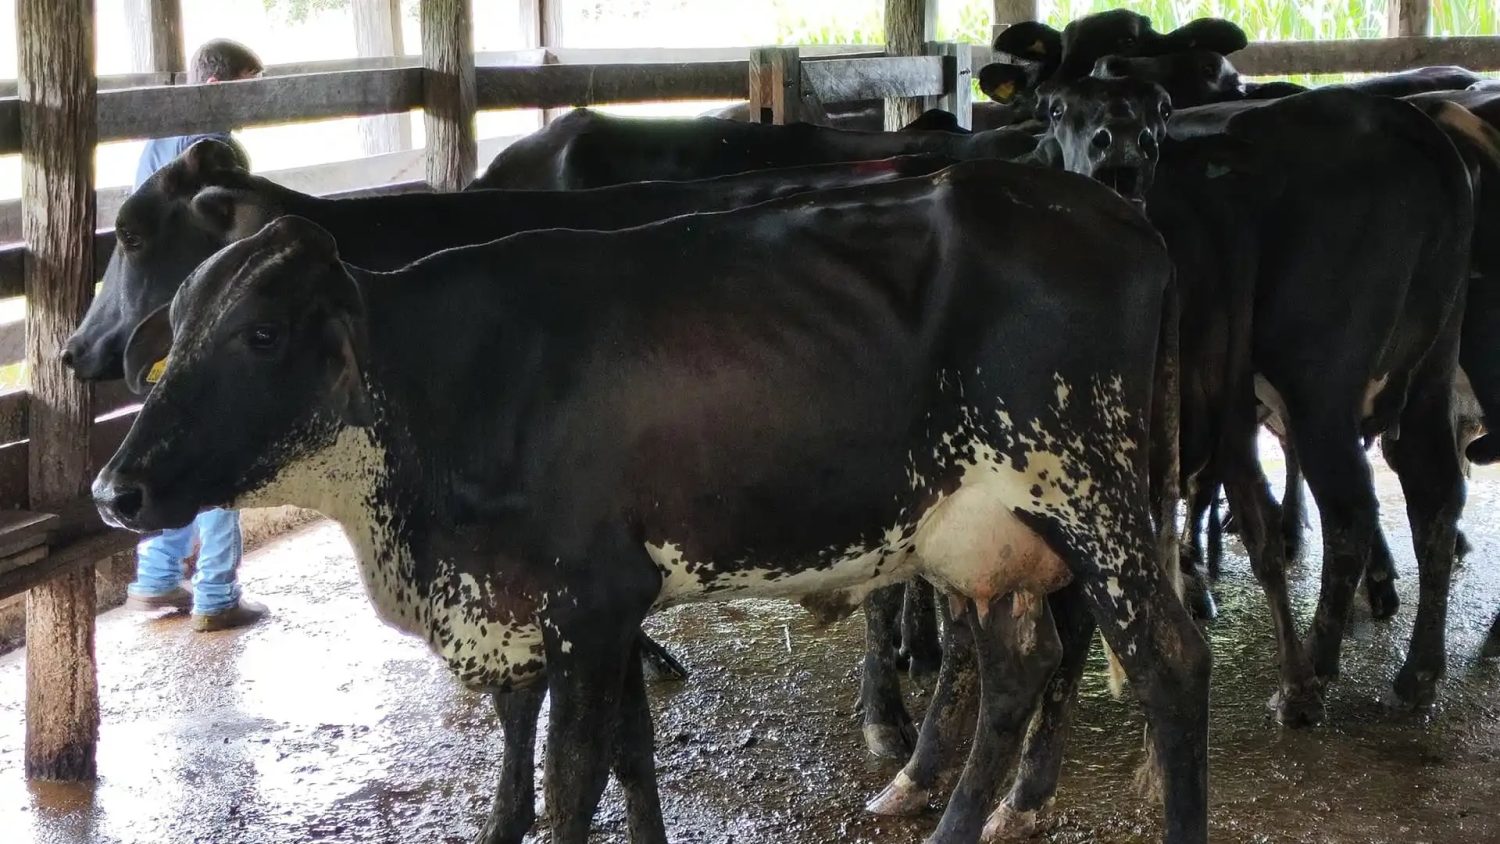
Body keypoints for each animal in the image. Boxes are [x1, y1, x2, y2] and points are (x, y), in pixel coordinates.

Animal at [90, 160, 1206, 844]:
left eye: (263, 334)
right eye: (176, 338)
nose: (113, 485)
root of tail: (1118, 213)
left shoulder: (586, 602)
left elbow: (570, 781)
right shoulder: (585, 607)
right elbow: (613, 759)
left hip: (1091, 492)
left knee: (1167, 661)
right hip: (991, 534)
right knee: (1018, 666)